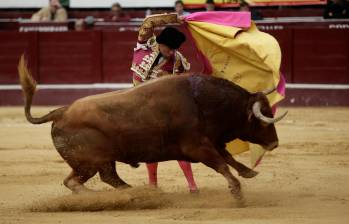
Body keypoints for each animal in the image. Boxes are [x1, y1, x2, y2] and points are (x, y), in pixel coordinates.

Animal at [17, 56, 286, 203]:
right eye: (263, 120)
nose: (274, 144)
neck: (202, 100)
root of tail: (60, 112)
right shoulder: (198, 147)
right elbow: (221, 164)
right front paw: (237, 193)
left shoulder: (211, 141)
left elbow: (228, 158)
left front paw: (248, 172)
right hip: (90, 162)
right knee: (81, 181)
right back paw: (127, 195)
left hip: (96, 162)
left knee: (98, 178)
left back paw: (135, 193)